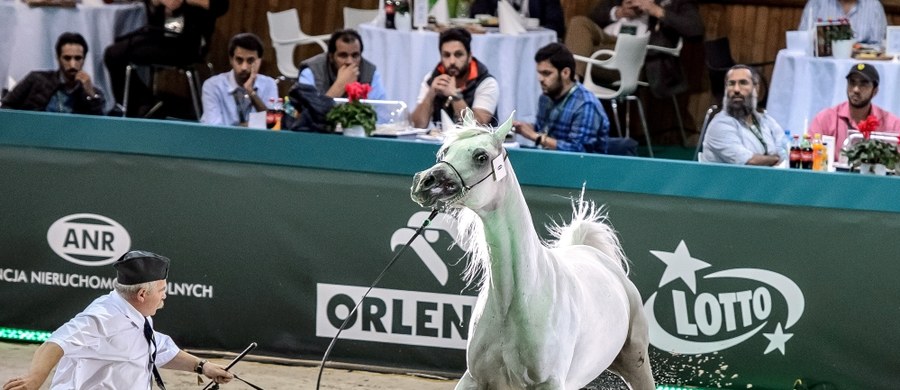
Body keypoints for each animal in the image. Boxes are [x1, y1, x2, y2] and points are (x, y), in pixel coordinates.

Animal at [410, 111, 652, 388]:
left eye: (481, 156)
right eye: (445, 151)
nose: (424, 182)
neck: (519, 298)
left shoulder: (549, 382)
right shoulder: (475, 378)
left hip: (636, 363)